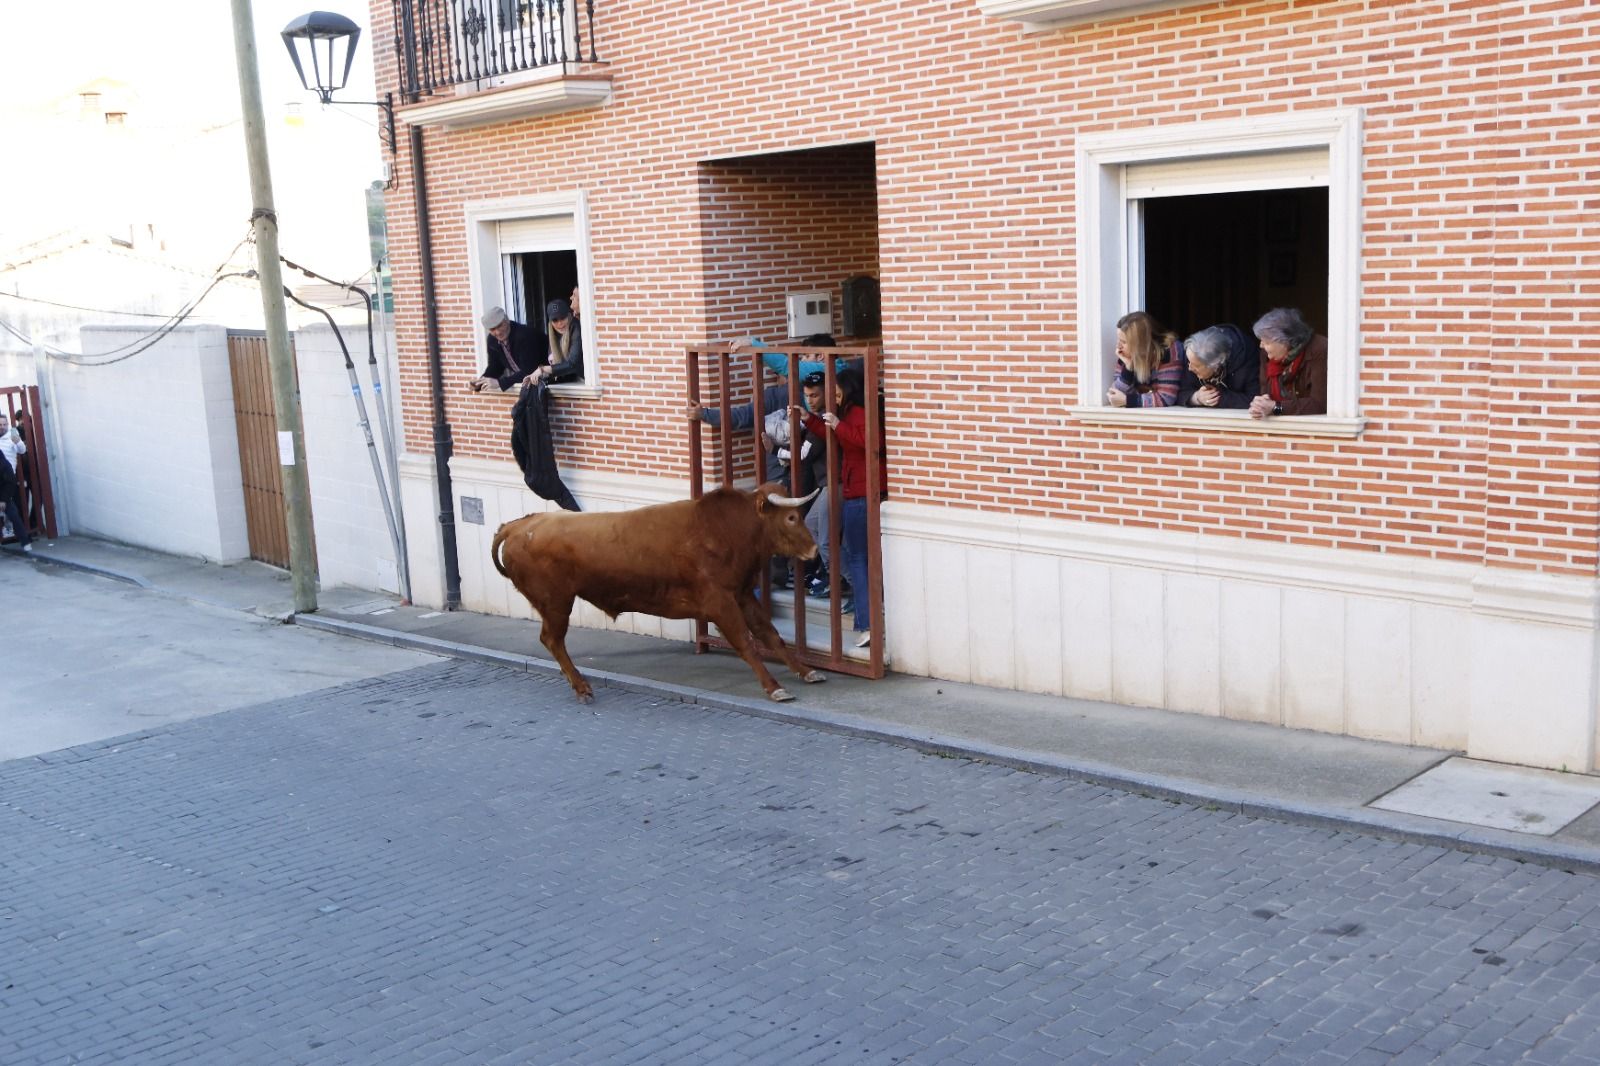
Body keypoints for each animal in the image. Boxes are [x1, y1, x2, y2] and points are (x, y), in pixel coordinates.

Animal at [492, 480, 825, 697]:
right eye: (791, 517)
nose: (814, 550)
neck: (726, 530)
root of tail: (518, 526)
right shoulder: (720, 602)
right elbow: (745, 642)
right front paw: (774, 687)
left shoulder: (742, 594)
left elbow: (770, 634)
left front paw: (806, 671)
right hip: (556, 603)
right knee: (552, 639)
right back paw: (581, 685)